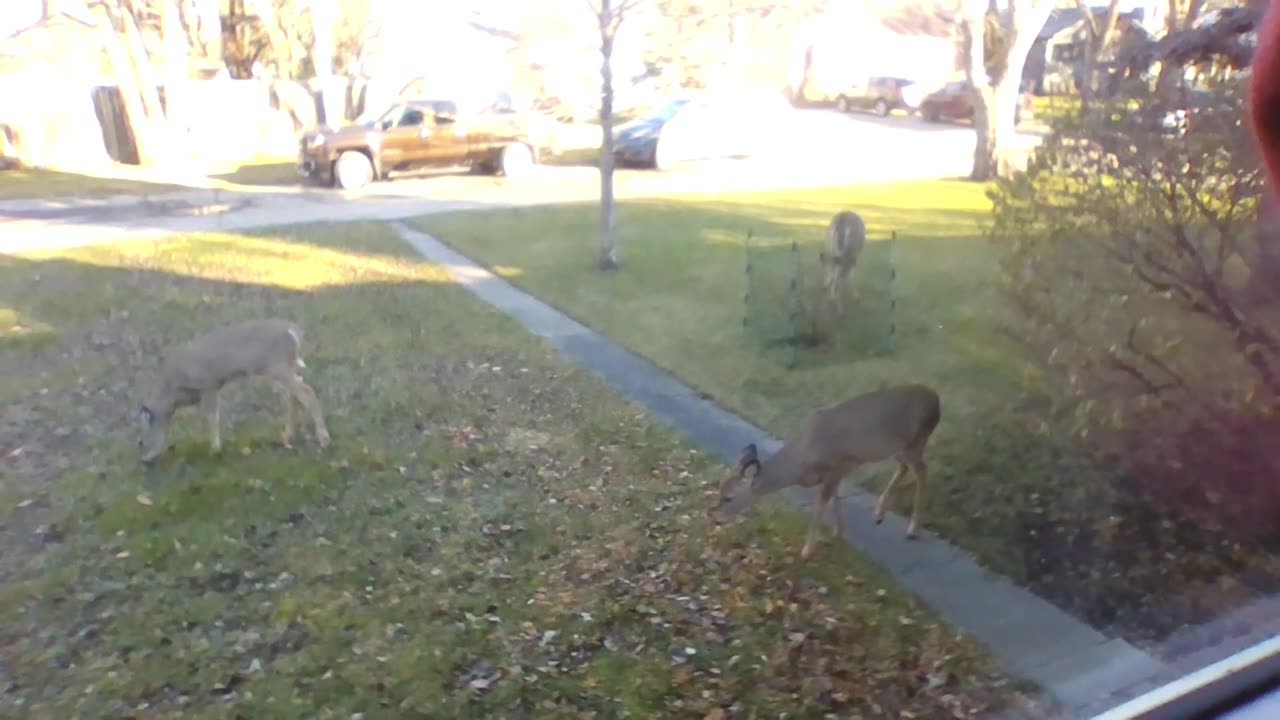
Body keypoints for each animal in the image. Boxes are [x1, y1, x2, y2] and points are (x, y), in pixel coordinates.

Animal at [137, 318, 330, 463]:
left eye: (141, 442)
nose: (144, 460)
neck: (171, 389)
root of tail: (294, 331)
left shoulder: (209, 384)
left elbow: (211, 417)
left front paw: (215, 450)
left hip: (277, 367)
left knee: (307, 392)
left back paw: (323, 439)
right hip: (283, 369)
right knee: (294, 395)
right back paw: (287, 438)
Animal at [710, 384, 941, 560]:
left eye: (729, 497)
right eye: (719, 490)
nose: (715, 518)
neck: (801, 463)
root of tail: (936, 400)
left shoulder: (835, 466)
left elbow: (820, 507)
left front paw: (806, 551)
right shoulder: (837, 471)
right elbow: (835, 499)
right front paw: (839, 531)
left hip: (916, 441)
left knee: (922, 471)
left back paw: (912, 529)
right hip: (896, 448)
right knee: (904, 467)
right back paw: (879, 512)